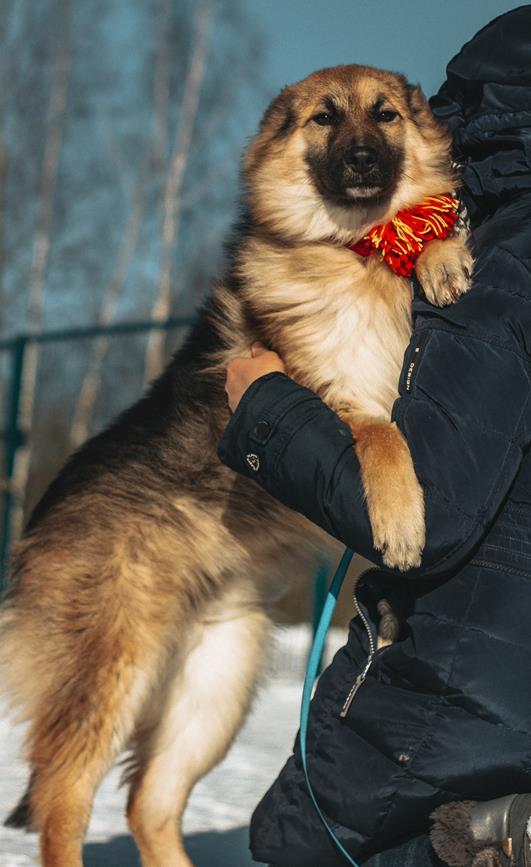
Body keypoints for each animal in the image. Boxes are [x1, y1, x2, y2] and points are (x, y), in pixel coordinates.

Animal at [0, 66, 474, 867]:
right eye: (323, 119)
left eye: (384, 115)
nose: (360, 161)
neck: (354, 251)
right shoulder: (331, 397)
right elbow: (383, 436)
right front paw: (401, 519)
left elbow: (428, 229)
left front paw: (442, 254)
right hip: (113, 670)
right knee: (66, 800)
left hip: (212, 688)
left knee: (149, 804)